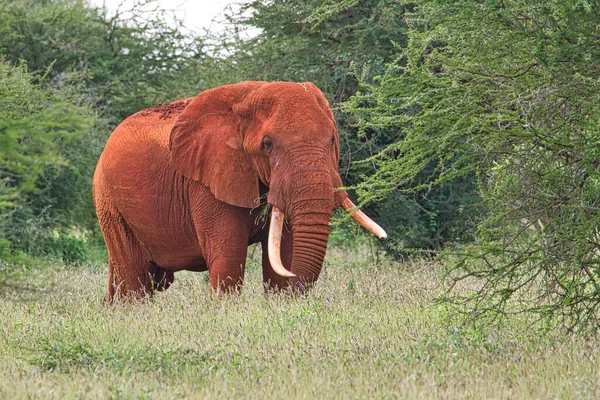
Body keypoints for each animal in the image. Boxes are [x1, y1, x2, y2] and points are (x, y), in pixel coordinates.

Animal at [91, 81, 386, 300]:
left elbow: (284, 252)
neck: (247, 98)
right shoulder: (208, 179)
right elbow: (229, 255)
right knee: (136, 281)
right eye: (267, 144)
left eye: (332, 139)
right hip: (109, 201)